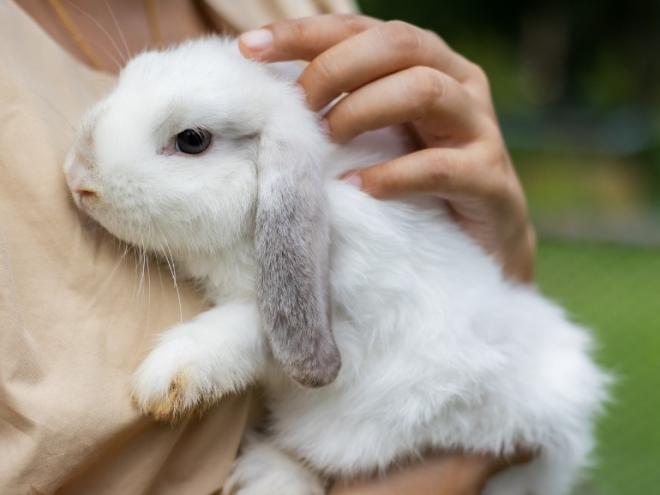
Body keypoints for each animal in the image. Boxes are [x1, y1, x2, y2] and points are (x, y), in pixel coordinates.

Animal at [63, 37, 608, 495]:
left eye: (192, 140)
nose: (78, 176)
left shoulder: (350, 317)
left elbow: (254, 325)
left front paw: (165, 378)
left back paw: (267, 476)